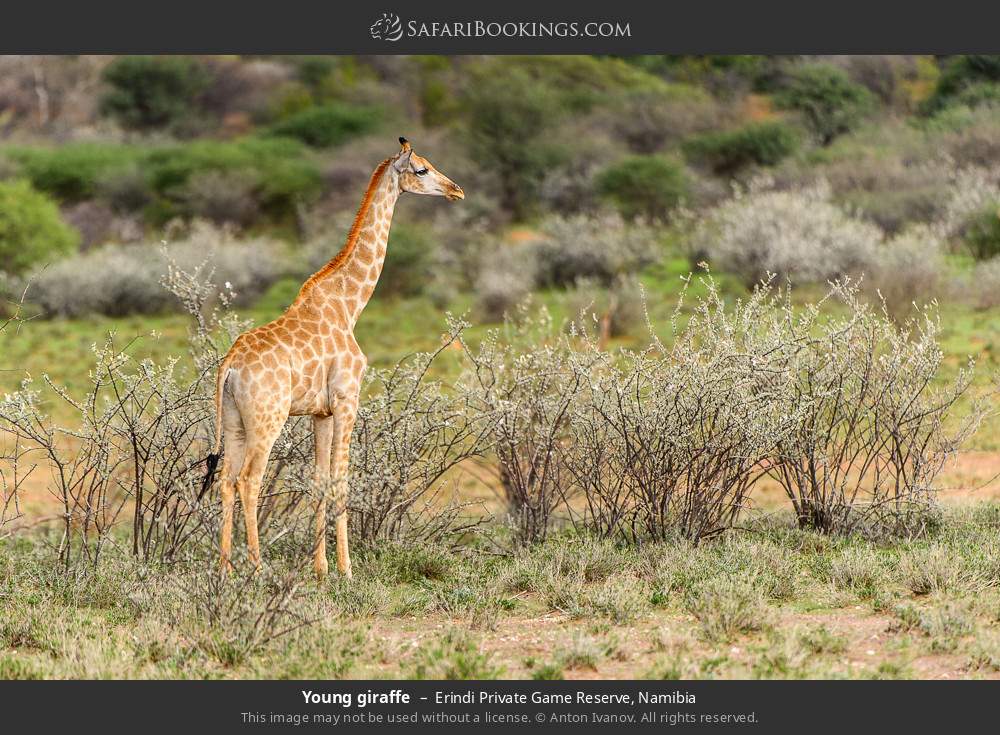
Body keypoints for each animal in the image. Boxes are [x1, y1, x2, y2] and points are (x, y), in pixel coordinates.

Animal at [206, 135, 468, 576]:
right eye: (422, 169)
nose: (457, 190)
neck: (350, 305)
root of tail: (229, 366)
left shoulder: (320, 412)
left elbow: (319, 482)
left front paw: (321, 568)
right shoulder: (348, 399)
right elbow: (342, 481)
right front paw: (346, 568)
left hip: (233, 420)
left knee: (226, 479)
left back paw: (225, 569)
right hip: (268, 417)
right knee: (250, 479)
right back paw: (257, 567)